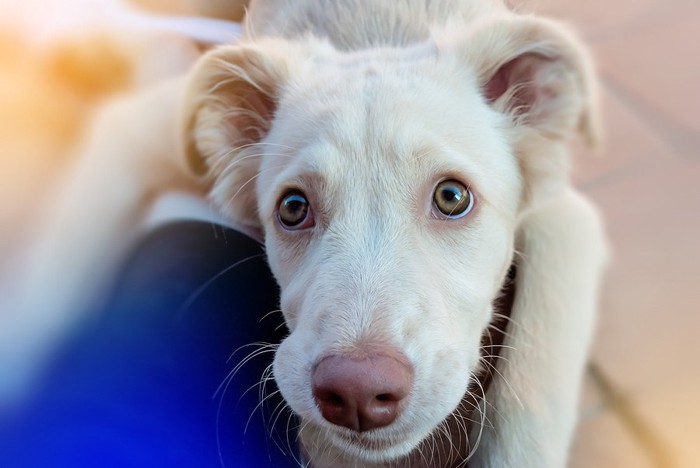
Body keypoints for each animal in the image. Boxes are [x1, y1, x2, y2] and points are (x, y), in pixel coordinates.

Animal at [5, 0, 608, 466]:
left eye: (452, 197)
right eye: (293, 208)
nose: (357, 394)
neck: (380, 30)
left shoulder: (565, 217)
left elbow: (534, 386)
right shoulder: (133, 131)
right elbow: (48, 296)